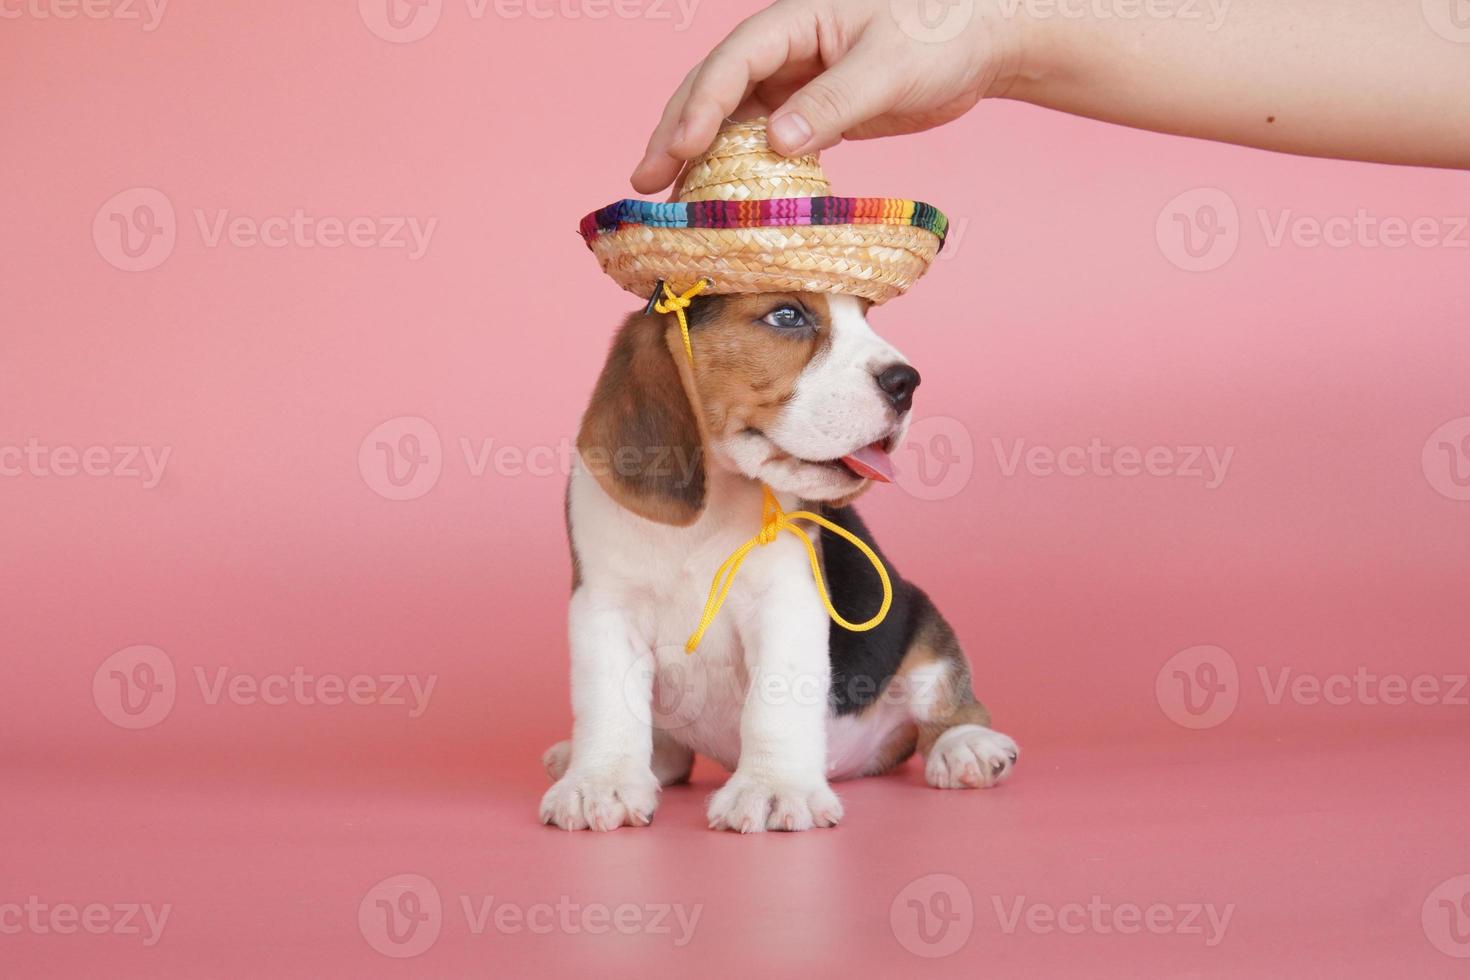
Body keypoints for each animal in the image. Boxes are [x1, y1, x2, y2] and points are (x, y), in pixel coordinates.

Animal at [543, 290, 1023, 834]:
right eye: (787, 316)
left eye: (865, 317)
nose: (907, 382)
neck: (719, 499)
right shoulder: (604, 609)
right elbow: (607, 704)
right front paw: (597, 782)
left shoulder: (785, 604)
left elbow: (776, 700)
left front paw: (773, 789)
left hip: (922, 629)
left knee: (949, 706)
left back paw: (968, 747)